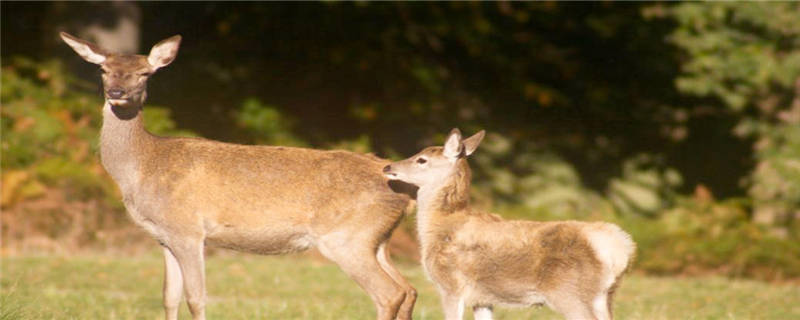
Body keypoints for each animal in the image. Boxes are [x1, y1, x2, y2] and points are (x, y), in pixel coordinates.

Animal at [59, 32, 416, 320]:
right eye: (104, 70)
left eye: (145, 73)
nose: (117, 91)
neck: (143, 167)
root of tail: (405, 190)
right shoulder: (163, 236)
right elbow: (169, 298)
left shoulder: (188, 229)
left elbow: (196, 298)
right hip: (376, 239)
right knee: (408, 289)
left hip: (347, 236)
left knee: (389, 293)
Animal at [382, 129, 636, 318]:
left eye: (421, 159)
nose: (388, 166)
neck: (441, 226)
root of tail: (619, 248)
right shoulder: (482, 298)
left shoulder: (451, 285)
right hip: (605, 295)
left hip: (569, 292)